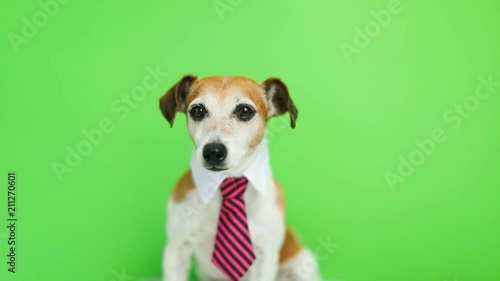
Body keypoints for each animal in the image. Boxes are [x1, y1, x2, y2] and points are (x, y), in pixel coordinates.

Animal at [160, 75, 322, 280]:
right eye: (197, 110)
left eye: (245, 110)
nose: (213, 152)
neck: (229, 181)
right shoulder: (177, 249)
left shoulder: (265, 257)